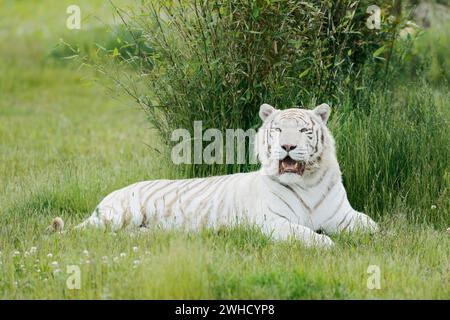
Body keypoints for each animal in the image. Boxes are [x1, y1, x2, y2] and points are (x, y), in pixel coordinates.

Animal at [51, 103, 376, 248]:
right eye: (278, 130)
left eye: (304, 130)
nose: (287, 146)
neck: (306, 183)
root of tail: (112, 193)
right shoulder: (272, 222)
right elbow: (307, 234)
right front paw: (329, 245)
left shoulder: (343, 215)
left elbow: (374, 228)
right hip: (116, 215)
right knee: (78, 230)